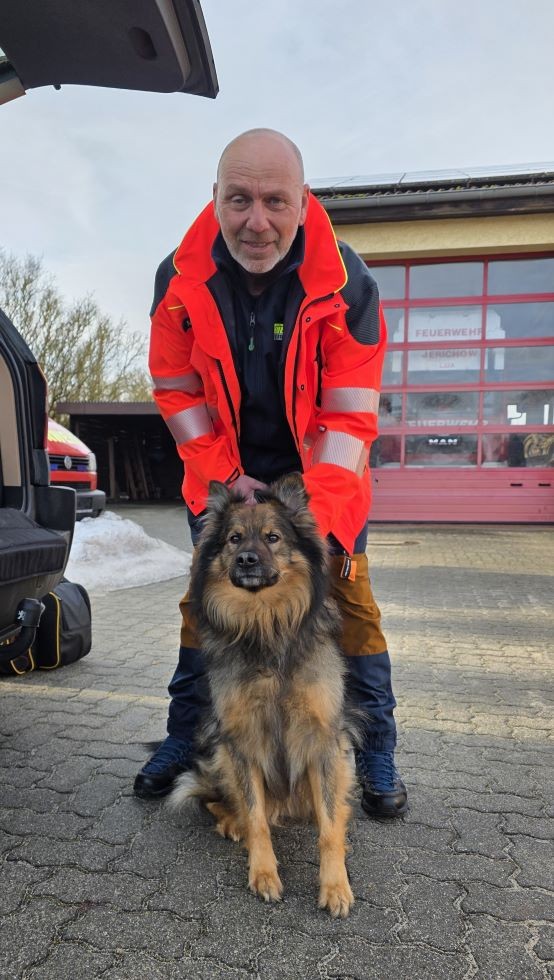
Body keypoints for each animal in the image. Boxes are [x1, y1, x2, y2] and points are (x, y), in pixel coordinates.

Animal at [168, 472, 355, 917]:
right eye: (234, 539)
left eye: (272, 537)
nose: (247, 560)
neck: (265, 624)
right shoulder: (242, 740)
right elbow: (255, 817)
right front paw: (264, 873)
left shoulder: (323, 740)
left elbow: (328, 827)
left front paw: (335, 885)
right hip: (219, 752)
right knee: (224, 801)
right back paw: (230, 821)